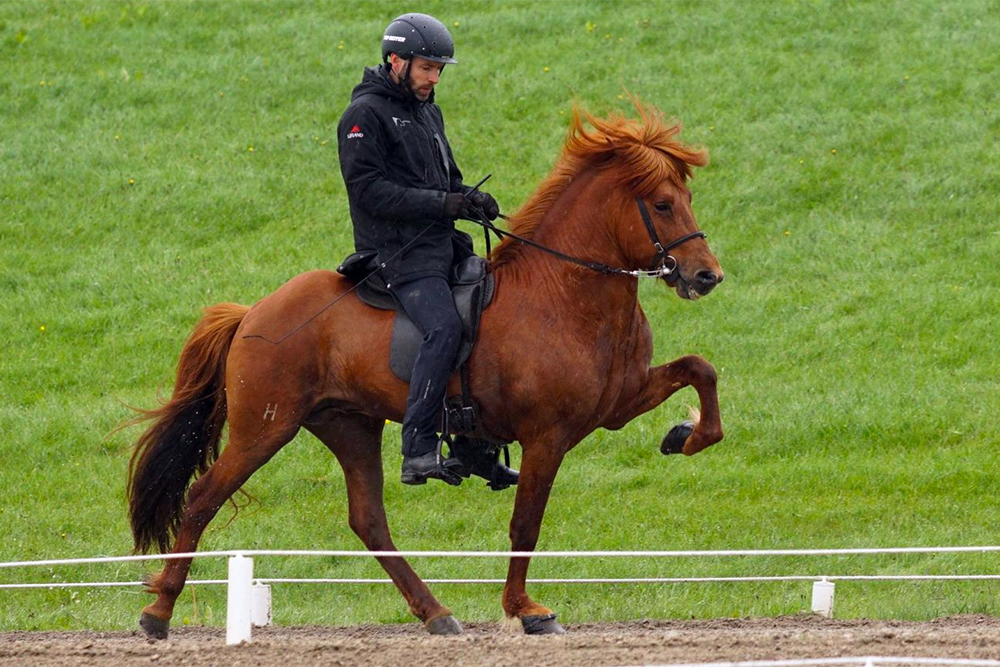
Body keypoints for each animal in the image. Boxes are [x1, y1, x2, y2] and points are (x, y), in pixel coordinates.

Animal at [129, 102, 728, 640]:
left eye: (688, 200)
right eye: (663, 204)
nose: (707, 276)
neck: (563, 292)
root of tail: (253, 312)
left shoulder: (618, 403)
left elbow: (701, 370)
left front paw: (686, 435)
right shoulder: (547, 436)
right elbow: (525, 525)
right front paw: (525, 611)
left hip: (348, 425)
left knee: (369, 521)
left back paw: (435, 612)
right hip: (265, 428)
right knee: (203, 498)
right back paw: (157, 612)